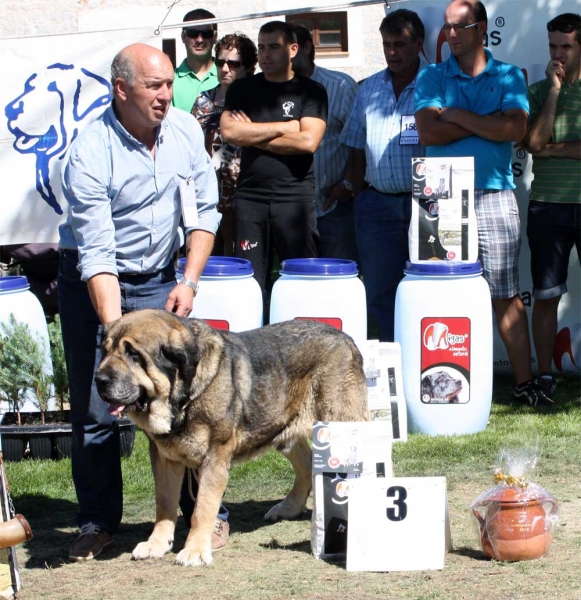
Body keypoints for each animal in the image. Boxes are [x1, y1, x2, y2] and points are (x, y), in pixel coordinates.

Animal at [95, 310, 368, 568]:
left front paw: (195, 550)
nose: (99, 380)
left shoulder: (214, 457)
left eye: (134, 354)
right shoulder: (164, 458)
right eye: (105, 350)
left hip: (339, 426)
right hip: (283, 429)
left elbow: (203, 508)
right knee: (306, 464)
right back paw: (288, 508)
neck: (184, 396)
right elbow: (164, 503)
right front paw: (156, 544)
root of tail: (346, 338)